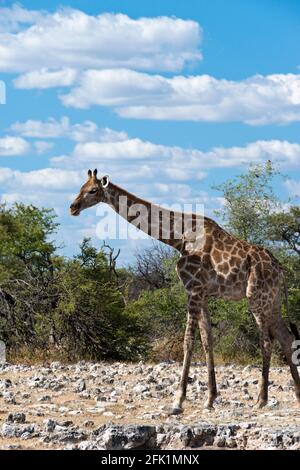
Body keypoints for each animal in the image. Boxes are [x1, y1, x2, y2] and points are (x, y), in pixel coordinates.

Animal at [69, 171, 300, 414]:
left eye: (92, 190)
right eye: (80, 187)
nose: (73, 207)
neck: (178, 237)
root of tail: (280, 268)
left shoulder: (194, 290)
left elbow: (188, 341)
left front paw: (178, 400)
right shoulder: (203, 294)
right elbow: (207, 340)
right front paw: (210, 399)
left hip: (256, 297)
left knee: (267, 341)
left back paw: (261, 399)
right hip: (272, 300)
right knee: (286, 337)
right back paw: (297, 394)